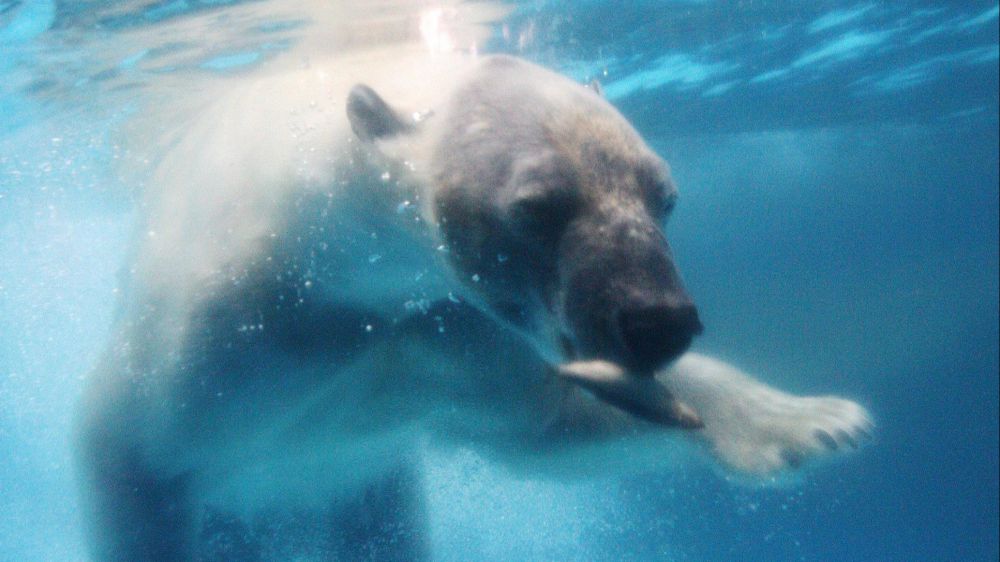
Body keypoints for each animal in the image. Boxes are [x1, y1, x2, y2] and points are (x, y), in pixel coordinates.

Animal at [74, 50, 872, 556]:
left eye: (664, 196)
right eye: (539, 206)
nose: (659, 322)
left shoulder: (448, 333)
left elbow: (538, 425)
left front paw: (807, 422)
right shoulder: (228, 332)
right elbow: (131, 455)